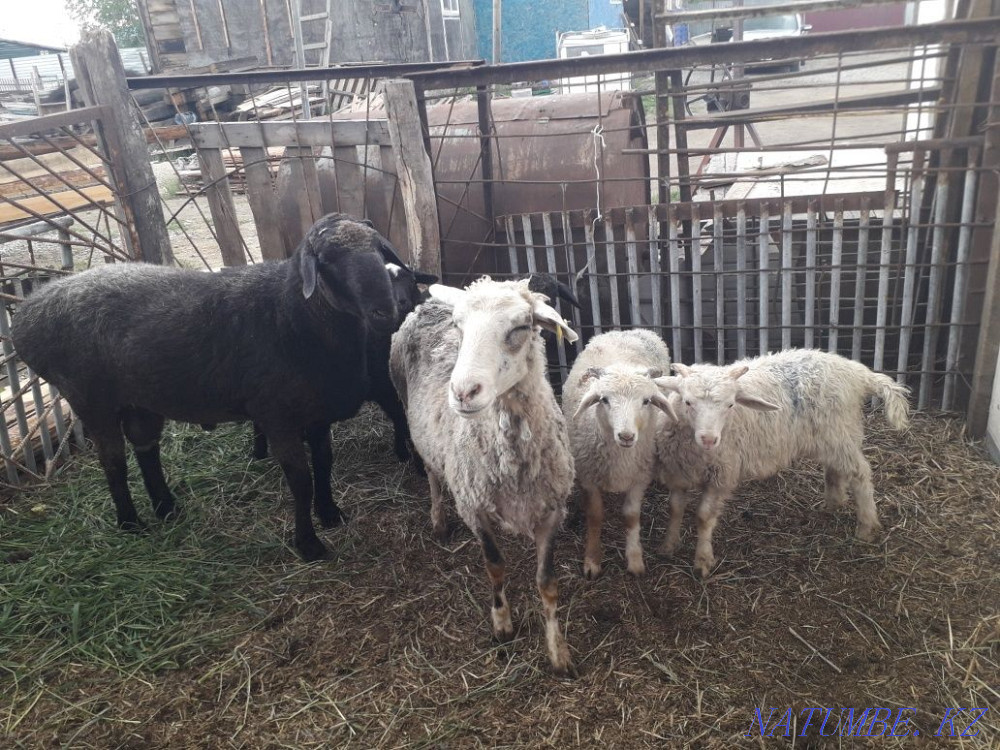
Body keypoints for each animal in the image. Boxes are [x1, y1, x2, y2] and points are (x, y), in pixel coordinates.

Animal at [12, 213, 405, 562]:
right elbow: (301, 479)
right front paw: (308, 544)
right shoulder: (276, 416)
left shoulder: (317, 411)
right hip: (90, 398)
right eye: (326, 260)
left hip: (141, 398)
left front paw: (330, 513)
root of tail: (27, 315)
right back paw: (130, 523)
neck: (290, 315)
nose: (385, 311)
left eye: (379, 250)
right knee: (114, 463)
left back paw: (167, 508)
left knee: (146, 447)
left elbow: (324, 464)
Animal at [389, 277, 579, 675]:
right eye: (459, 327)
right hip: (413, 421)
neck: (513, 463)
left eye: (521, 326)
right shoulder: (473, 507)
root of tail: (429, 304)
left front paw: (558, 652)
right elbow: (495, 566)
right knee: (432, 473)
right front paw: (502, 623)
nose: (463, 392)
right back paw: (438, 520)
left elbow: (547, 583)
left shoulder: (552, 511)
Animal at [562, 329, 675, 579]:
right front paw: (592, 560)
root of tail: (625, 331)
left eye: (646, 401)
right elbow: (595, 516)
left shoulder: (639, 477)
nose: (626, 436)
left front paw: (635, 559)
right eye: (604, 399)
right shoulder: (589, 476)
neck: (621, 457)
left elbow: (631, 517)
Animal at [653, 349, 911, 578]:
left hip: (840, 432)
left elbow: (704, 517)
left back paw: (866, 526)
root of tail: (857, 372)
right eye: (688, 402)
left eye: (730, 405)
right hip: (833, 437)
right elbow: (675, 509)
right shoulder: (677, 472)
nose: (709, 439)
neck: (695, 451)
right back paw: (832, 504)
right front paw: (667, 546)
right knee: (836, 469)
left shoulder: (722, 475)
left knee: (859, 474)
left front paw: (703, 561)